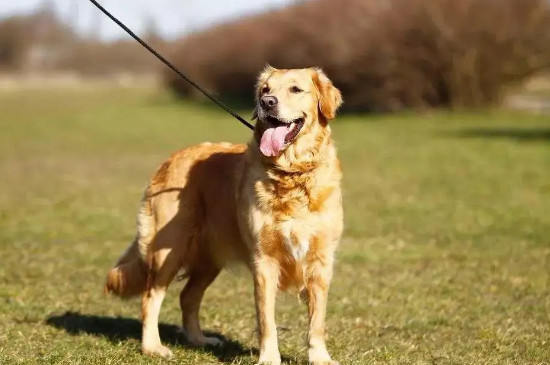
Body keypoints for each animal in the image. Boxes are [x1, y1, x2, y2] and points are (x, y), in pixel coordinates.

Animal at [105, 66, 342, 364]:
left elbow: (317, 320)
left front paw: (320, 356)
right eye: (265, 90)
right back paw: (153, 347)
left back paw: (199, 339)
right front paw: (269, 358)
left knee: (187, 297)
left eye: (295, 89)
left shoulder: (321, 261)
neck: (291, 173)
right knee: (151, 296)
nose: (267, 103)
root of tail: (171, 158)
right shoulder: (264, 261)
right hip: (169, 250)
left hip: (209, 259)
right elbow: (266, 319)